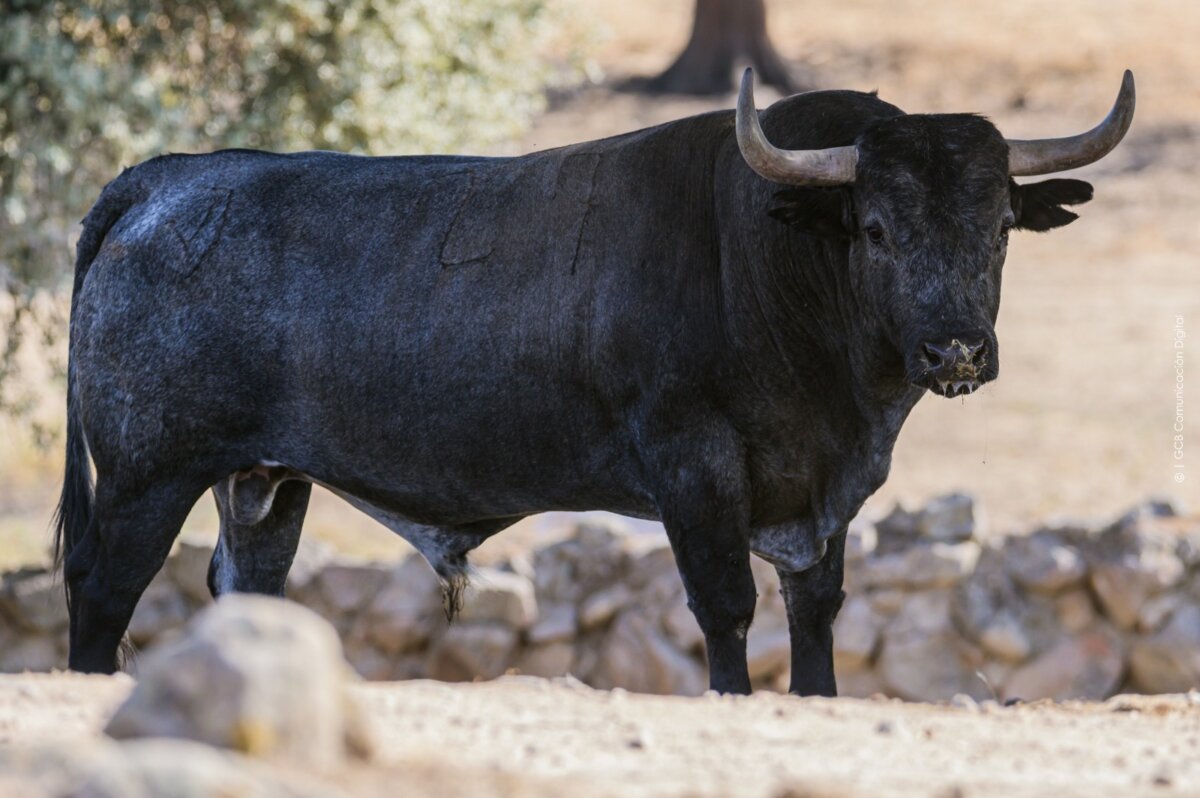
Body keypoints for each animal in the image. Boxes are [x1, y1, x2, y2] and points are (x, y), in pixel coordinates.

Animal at [55, 68, 1135, 695]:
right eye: (874, 227)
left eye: (1001, 225)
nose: (957, 352)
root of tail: (169, 176)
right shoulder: (696, 470)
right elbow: (727, 609)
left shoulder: (822, 502)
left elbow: (816, 617)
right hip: (147, 476)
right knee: (102, 594)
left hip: (263, 485)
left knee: (247, 591)